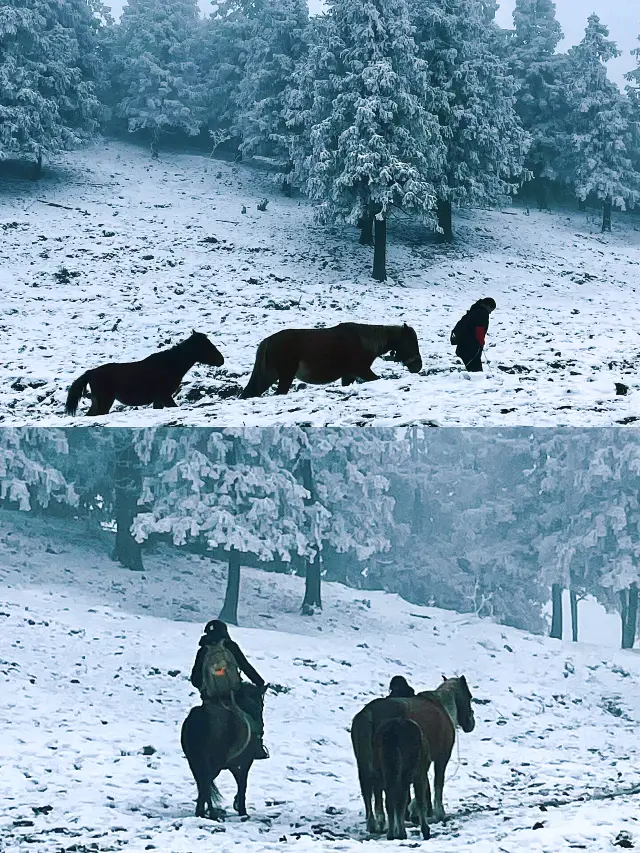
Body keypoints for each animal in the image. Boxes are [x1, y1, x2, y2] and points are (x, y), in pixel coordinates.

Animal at [65, 330, 224, 416]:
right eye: (206, 345)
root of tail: (91, 372)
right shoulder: (164, 396)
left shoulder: (159, 399)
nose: (221, 360)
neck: (170, 365)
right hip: (104, 401)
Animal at [180, 684, 268, 816]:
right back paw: (205, 813)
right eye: (261, 704)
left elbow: (238, 780)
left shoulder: (232, 764)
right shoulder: (246, 761)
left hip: (195, 762)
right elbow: (242, 783)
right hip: (214, 762)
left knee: (203, 784)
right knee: (205, 783)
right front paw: (242, 810)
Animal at [240, 322, 420, 400]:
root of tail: (268, 341)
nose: (418, 366)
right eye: (410, 342)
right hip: (284, 376)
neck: (364, 341)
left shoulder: (348, 376)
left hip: (270, 375)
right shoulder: (362, 371)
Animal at [370, 716, 430, 844]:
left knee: (390, 800)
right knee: (401, 800)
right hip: (408, 769)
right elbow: (420, 801)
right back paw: (401, 833)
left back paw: (392, 834)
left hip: (383, 771)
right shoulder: (420, 774)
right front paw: (426, 831)